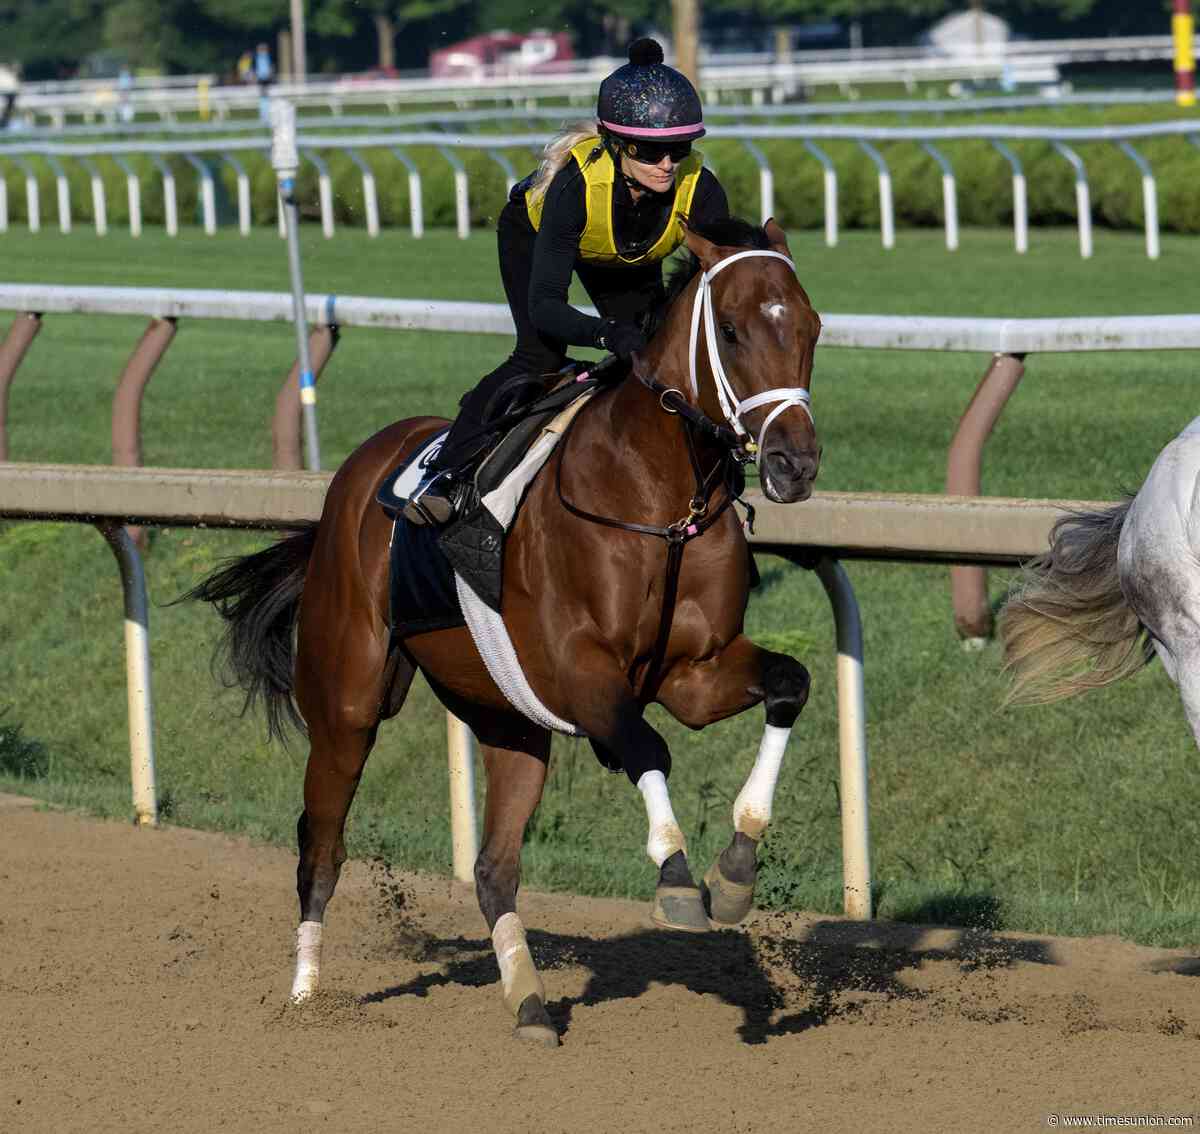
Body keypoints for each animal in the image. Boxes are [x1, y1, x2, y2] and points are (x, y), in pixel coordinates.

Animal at [186, 217, 823, 1047]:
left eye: (812, 327)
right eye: (733, 329)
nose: (794, 464)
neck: (658, 501)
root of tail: (356, 474)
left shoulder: (696, 671)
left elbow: (789, 684)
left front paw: (738, 867)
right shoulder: (578, 671)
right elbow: (646, 745)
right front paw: (679, 879)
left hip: (505, 716)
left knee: (493, 868)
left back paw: (528, 1002)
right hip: (347, 704)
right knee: (320, 847)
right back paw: (304, 996)